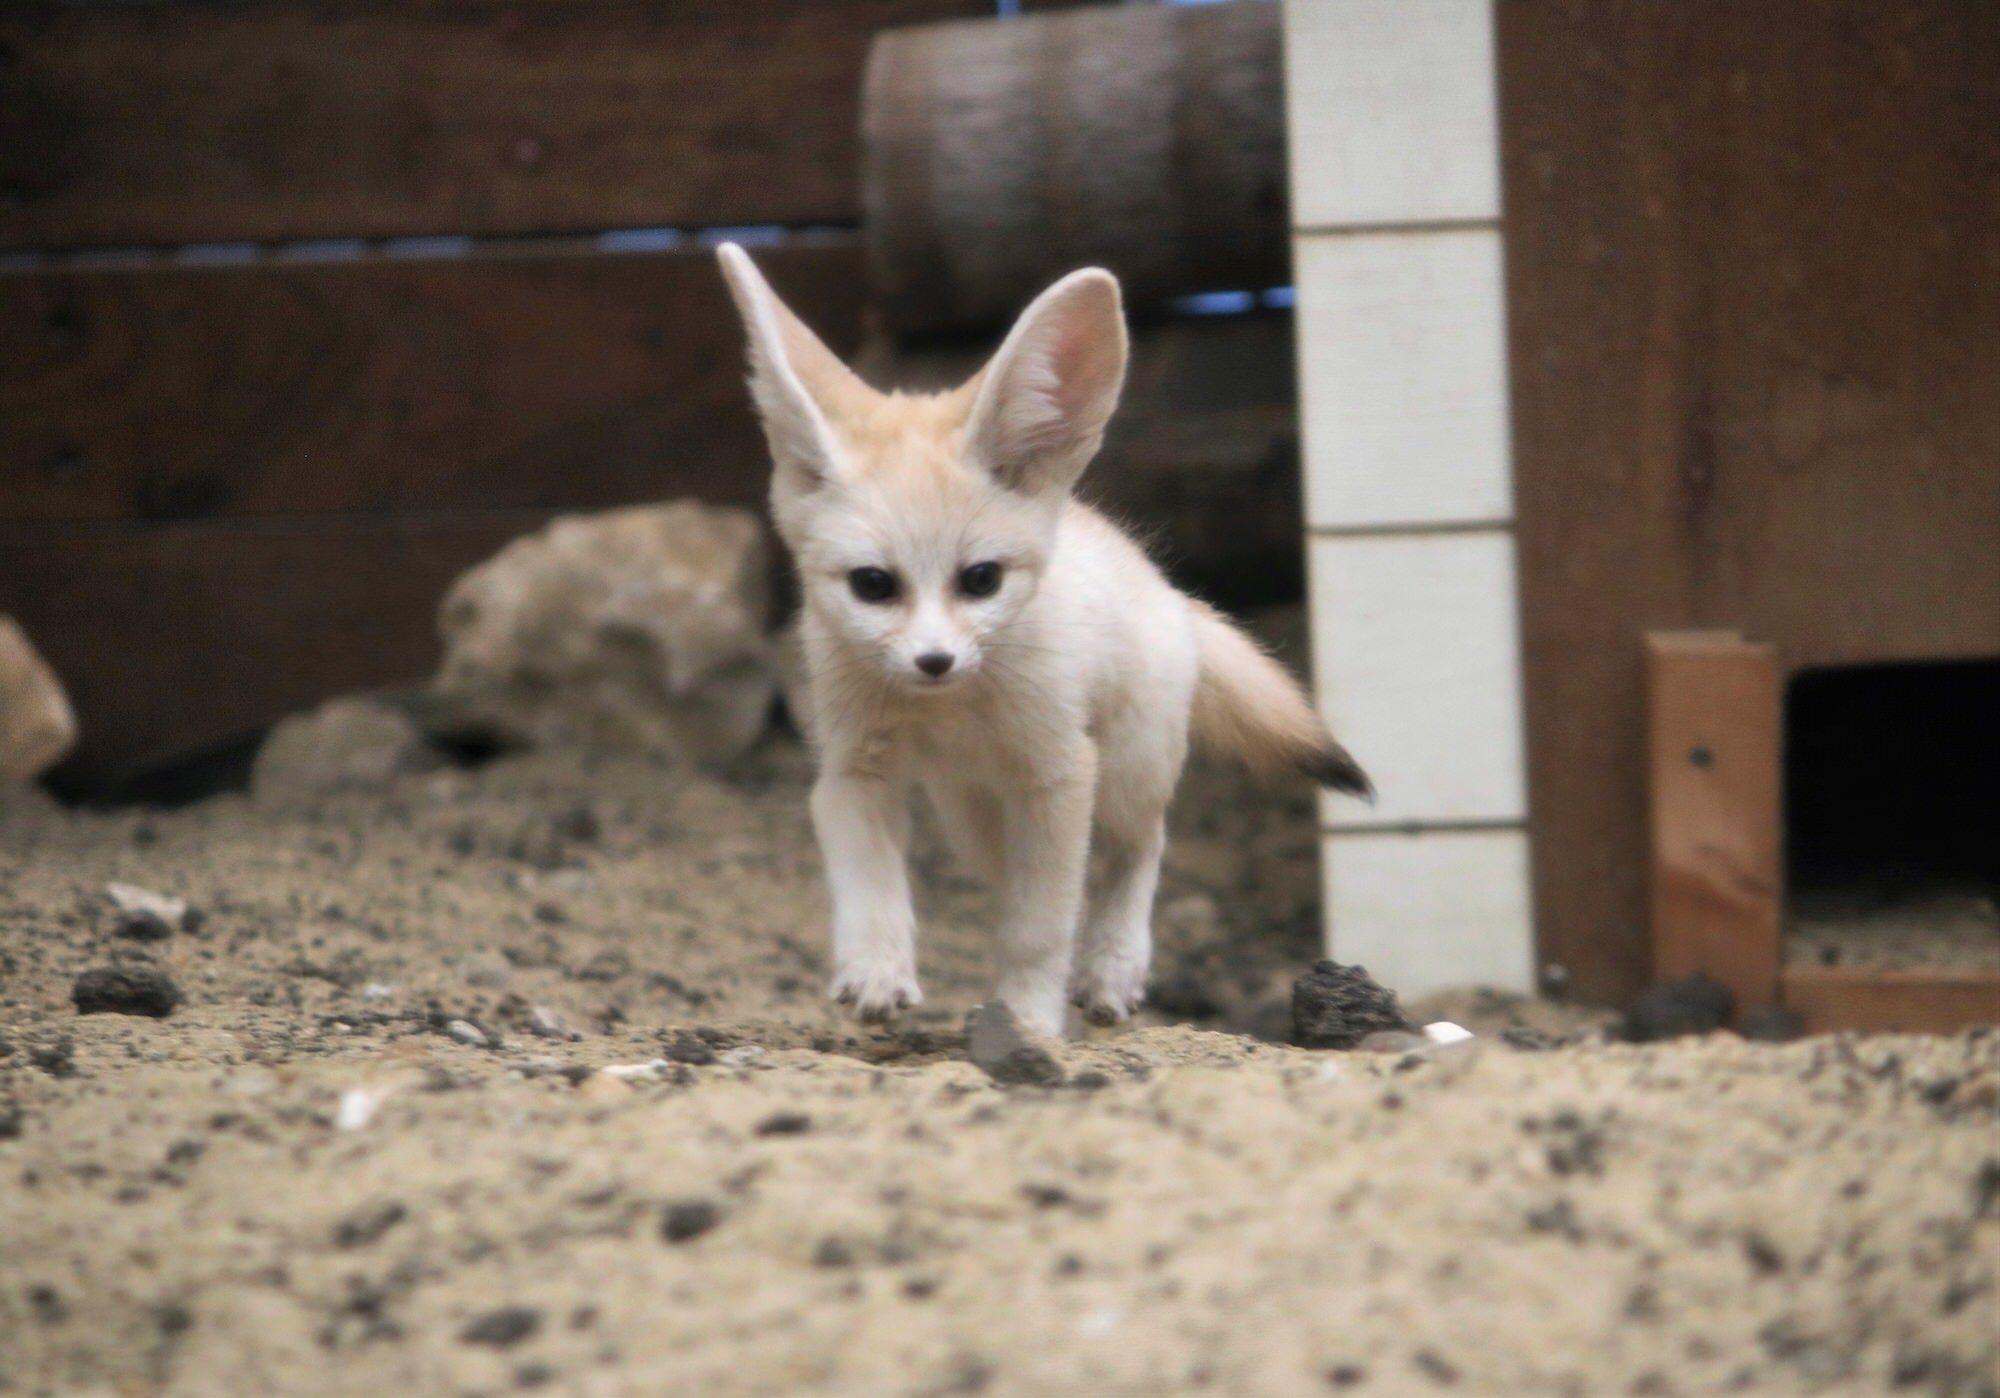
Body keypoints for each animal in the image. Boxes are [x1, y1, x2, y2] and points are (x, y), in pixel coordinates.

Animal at [720, 243, 1376, 1040]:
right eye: (873, 584)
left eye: (981, 579)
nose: (934, 661)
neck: (948, 711)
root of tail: (1167, 592)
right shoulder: (853, 771)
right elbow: (872, 888)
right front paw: (877, 971)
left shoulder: (1061, 775)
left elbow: (1040, 929)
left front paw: (1029, 1022)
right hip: (976, 818)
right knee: (1036, 881)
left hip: (1123, 776)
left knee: (1139, 847)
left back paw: (1112, 967)